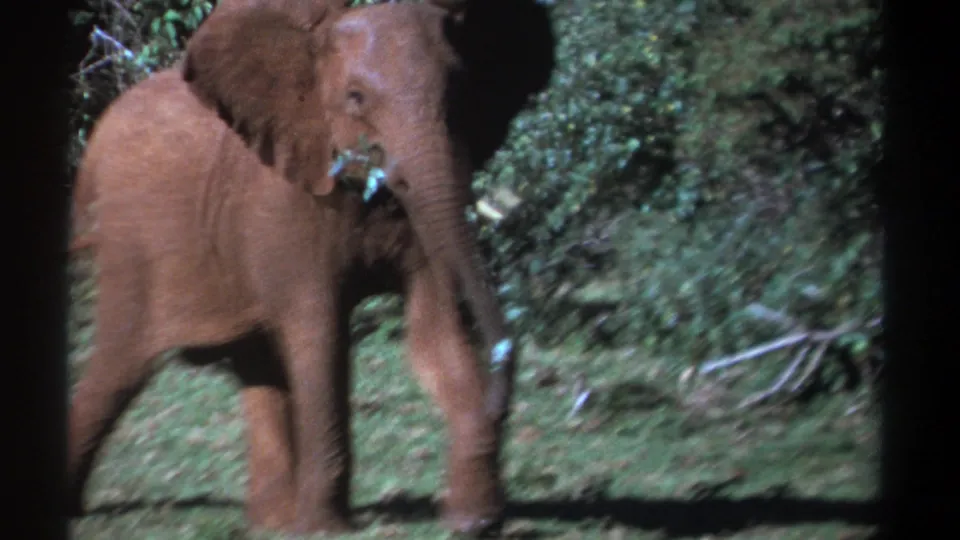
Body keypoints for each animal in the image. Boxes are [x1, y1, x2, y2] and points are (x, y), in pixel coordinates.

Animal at [66, 0, 555, 535]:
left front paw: (473, 520)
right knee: (118, 368)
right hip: (130, 245)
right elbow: (320, 336)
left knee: (254, 365)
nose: (500, 400)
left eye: (460, 88)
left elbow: (437, 331)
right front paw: (326, 529)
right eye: (356, 98)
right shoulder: (284, 205)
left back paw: (274, 522)